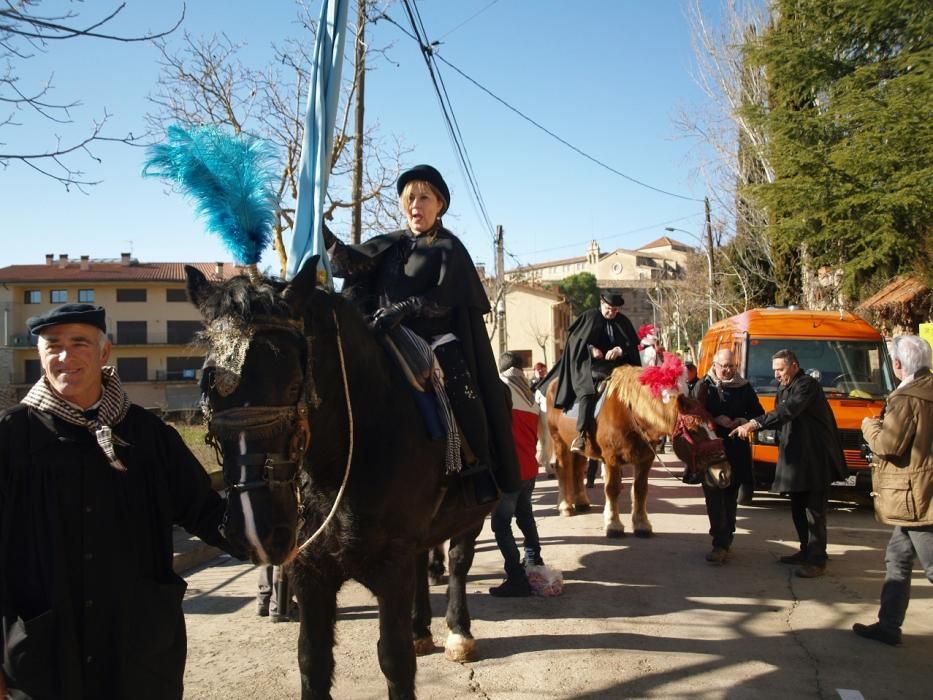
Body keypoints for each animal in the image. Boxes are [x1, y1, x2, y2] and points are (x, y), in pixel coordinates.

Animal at [185, 258, 498, 700]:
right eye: (209, 387)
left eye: (294, 385)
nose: (255, 531)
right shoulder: (309, 572)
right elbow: (312, 661)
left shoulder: (390, 565)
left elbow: (395, 660)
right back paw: (421, 628)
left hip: (471, 515)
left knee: (457, 562)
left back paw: (458, 633)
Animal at [548, 364, 728, 540]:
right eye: (694, 430)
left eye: (713, 426)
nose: (724, 473)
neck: (631, 415)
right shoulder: (611, 459)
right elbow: (612, 489)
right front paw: (613, 524)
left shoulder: (645, 459)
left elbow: (640, 489)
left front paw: (642, 524)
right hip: (558, 441)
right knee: (563, 470)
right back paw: (565, 505)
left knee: (578, 471)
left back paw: (581, 502)